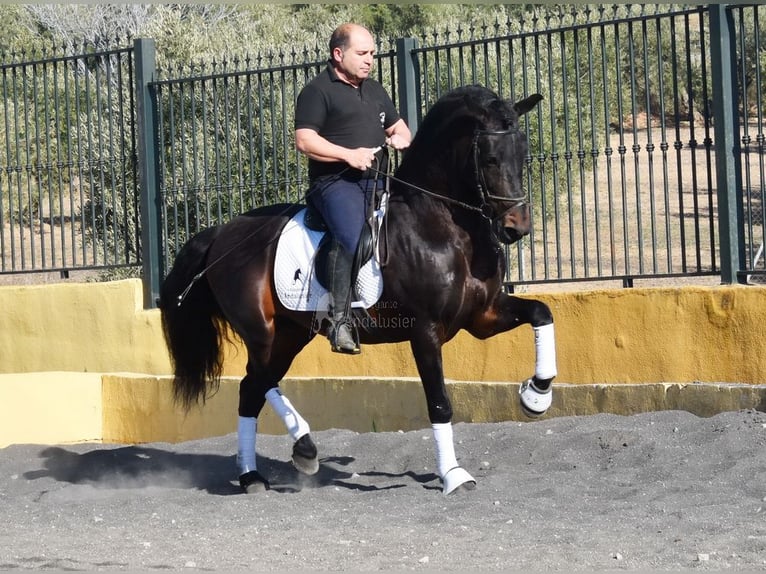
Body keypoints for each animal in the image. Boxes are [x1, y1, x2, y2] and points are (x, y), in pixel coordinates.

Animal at [160, 84, 560, 496]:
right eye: (491, 159)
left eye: (523, 154)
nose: (517, 227)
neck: (445, 229)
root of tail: (220, 234)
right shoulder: (425, 331)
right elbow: (439, 402)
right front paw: (453, 475)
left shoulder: (484, 316)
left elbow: (542, 312)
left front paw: (536, 395)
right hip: (260, 330)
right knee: (259, 379)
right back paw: (303, 448)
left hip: (289, 334)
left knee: (251, 390)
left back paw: (252, 475)